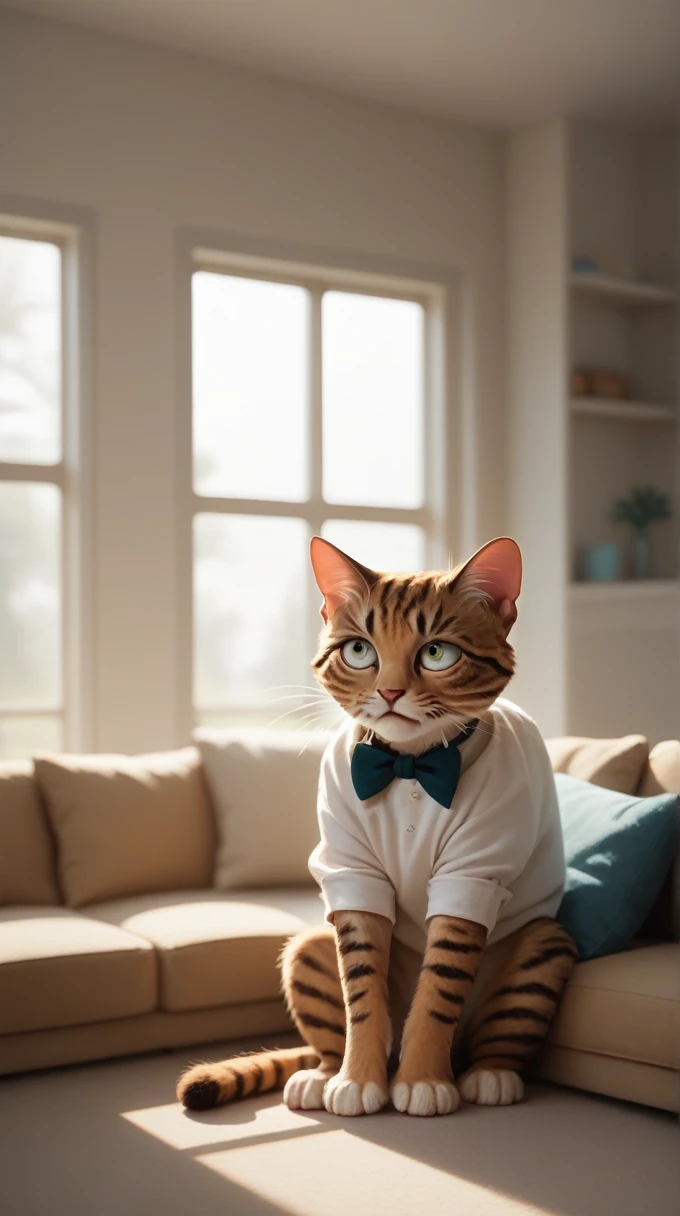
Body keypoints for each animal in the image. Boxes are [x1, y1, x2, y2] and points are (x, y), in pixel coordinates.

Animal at [178, 537, 576, 1113]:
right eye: (360, 651)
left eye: (437, 653)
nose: (389, 693)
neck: (410, 765)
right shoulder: (352, 874)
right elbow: (361, 992)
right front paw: (357, 1080)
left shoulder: (473, 873)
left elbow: (439, 988)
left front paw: (423, 1081)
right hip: (307, 948)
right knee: (329, 1026)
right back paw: (322, 1075)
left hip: (545, 945)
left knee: (497, 1035)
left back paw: (488, 1075)